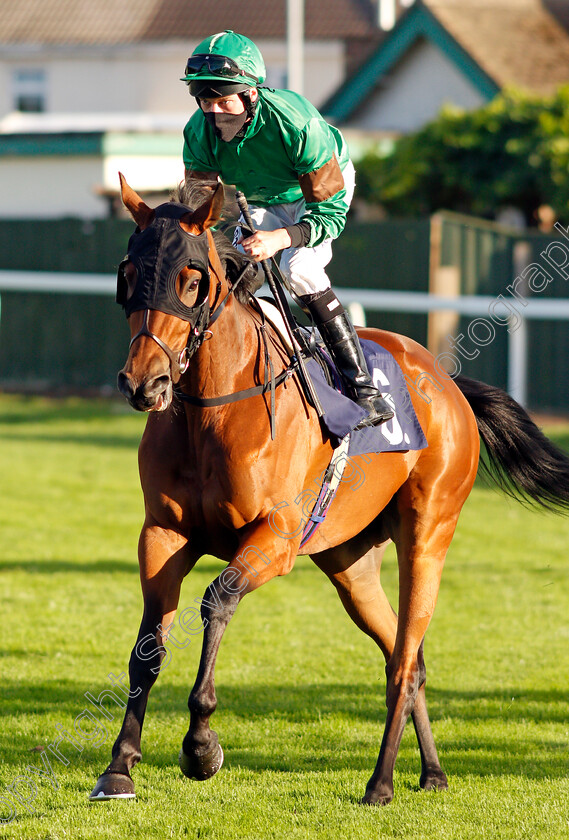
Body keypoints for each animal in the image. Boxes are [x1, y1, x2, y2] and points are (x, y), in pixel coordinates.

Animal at [90, 177, 569, 808]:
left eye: (191, 281)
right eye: (128, 273)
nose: (144, 384)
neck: (213, 408)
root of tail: (447, 383)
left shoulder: (274, 539)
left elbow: (216, 601)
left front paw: (201, 745)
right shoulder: (163, 534)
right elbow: (147, 647)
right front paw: (119, 767)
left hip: (428, 535)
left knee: (404, 659)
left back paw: (381, 782)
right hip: (351, 564)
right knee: (405, 655)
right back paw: (431, 772)